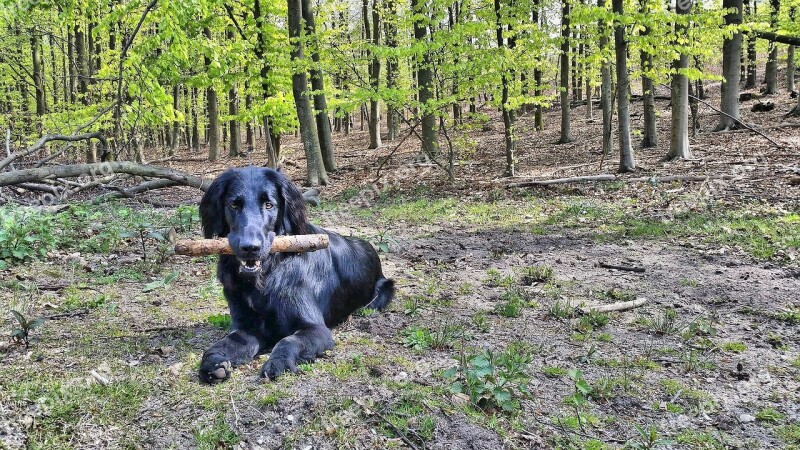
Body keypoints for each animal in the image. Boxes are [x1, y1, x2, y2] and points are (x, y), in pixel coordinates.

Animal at [198, 167, 396, 382]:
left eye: (269, 205)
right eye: (233, 204)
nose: (250, 248)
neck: (265, 276)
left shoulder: (317, 329)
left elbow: (288, 341)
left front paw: (278, 362)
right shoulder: (247, 327)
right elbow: (226, 342)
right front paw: (213, 361)